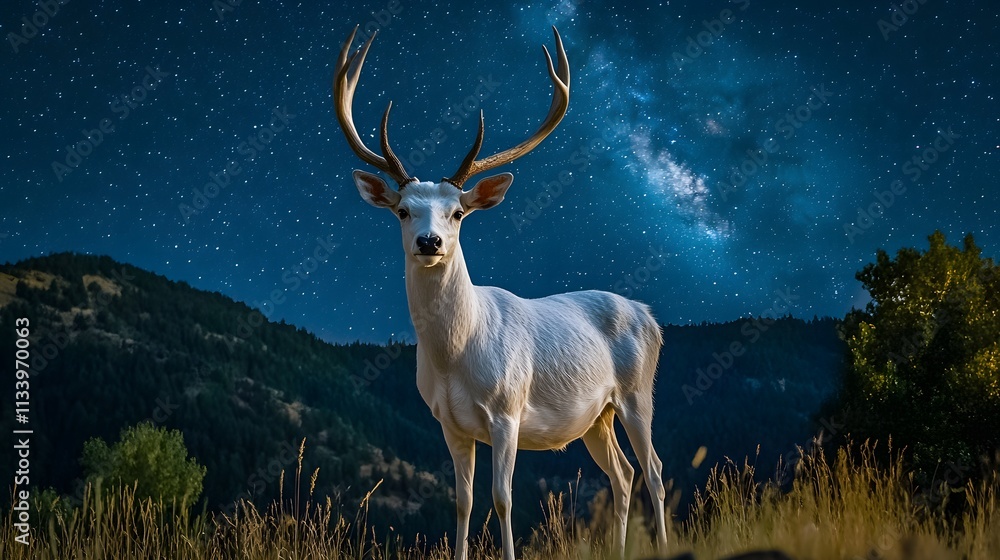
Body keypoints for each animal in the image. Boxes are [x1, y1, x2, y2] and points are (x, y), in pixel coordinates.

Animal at [333, 25, 669, 560]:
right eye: (403, 211)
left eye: (458, 213)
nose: (430, 242)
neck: (455, 356)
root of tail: (649, 314)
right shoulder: (448, 423)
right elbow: (464, 501)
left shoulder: (507, 411)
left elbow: (503, 498)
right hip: (597, 416)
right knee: (623, 473)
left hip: (638, 390)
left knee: (654, 470)